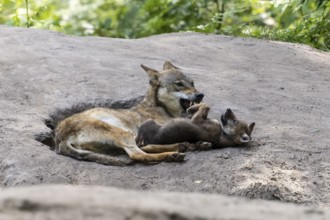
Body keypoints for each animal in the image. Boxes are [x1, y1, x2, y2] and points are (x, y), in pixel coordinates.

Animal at [54, 61, 204, 165]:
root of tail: (60, 138)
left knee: (144, 148)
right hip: (125, 133)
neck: (160, 107)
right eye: (179, 84)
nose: (200, 95)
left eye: (192, 83)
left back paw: (184, 146)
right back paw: (172, 154)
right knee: (138, 155)